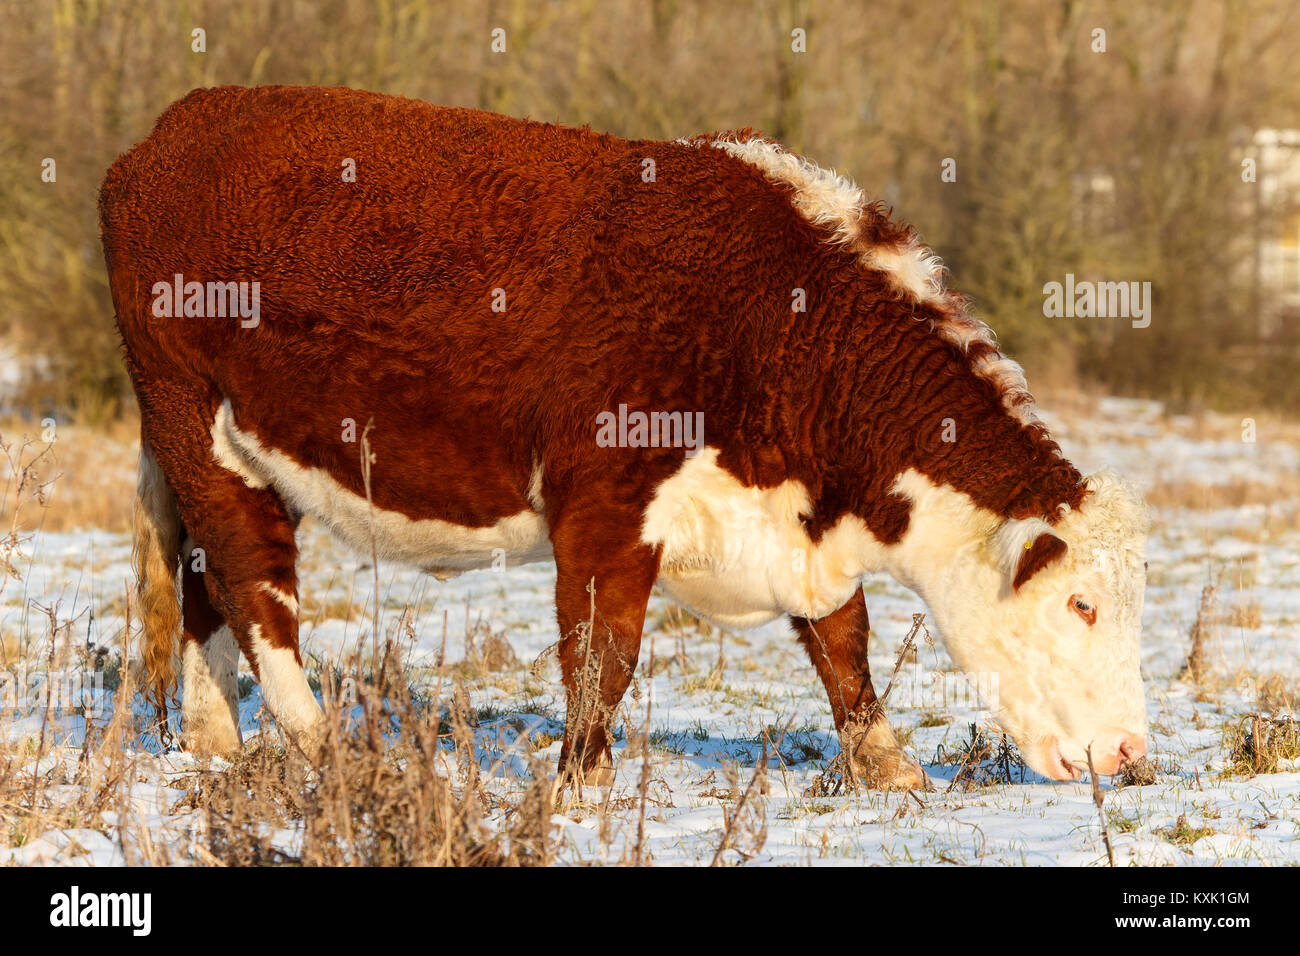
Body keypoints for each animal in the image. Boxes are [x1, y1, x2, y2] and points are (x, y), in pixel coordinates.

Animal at [99, 85, 1149, 790]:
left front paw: (889, 768)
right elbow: (604, 652)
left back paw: (215, 741)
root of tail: (172, 128)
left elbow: (843, 644)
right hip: (194, 416)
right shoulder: (606, 506)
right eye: (1082, 605)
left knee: (205, 581)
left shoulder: (797, 531)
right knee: (252, 579)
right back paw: (323, 746)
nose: (1132, 752)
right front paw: (583, 778)